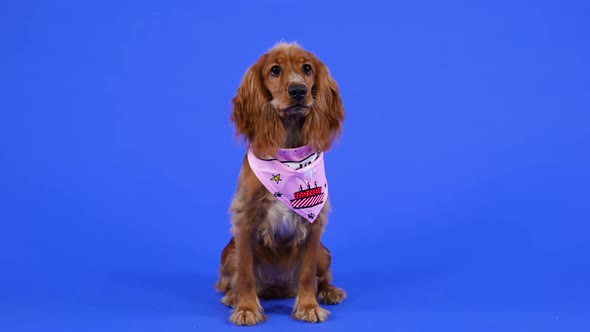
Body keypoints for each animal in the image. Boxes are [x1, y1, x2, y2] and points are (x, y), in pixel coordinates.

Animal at [215, 41, 346, 324]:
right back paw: (232, 297)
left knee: (321, 277)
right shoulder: (245, 220)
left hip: (324, 252)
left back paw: (330, 291)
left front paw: (308, 306)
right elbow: (245, 273)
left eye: (307, 68)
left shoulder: (314, 225)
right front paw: (246, 309)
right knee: (232, 279)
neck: (290, 156)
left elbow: (307, 274)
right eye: (274, 70)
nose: (298, 90)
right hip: (228, 252)